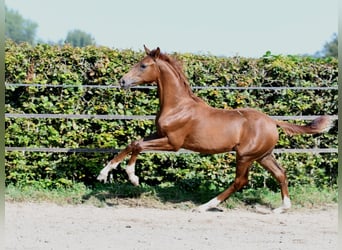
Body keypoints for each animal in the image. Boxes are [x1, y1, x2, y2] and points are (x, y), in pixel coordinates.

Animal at [97, 46, 332, 212]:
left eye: (143, 66)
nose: (122, 81)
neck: (178, 106)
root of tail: (272, 121)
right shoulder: (160, 134)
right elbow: (133, 143)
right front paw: (105, 173)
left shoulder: (173, 143)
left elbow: (137, 145)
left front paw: (131, 177)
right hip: (263, 156)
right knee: (280, 173)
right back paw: (282, 208)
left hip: (245, 156)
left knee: (240, 181)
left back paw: (205, 206)